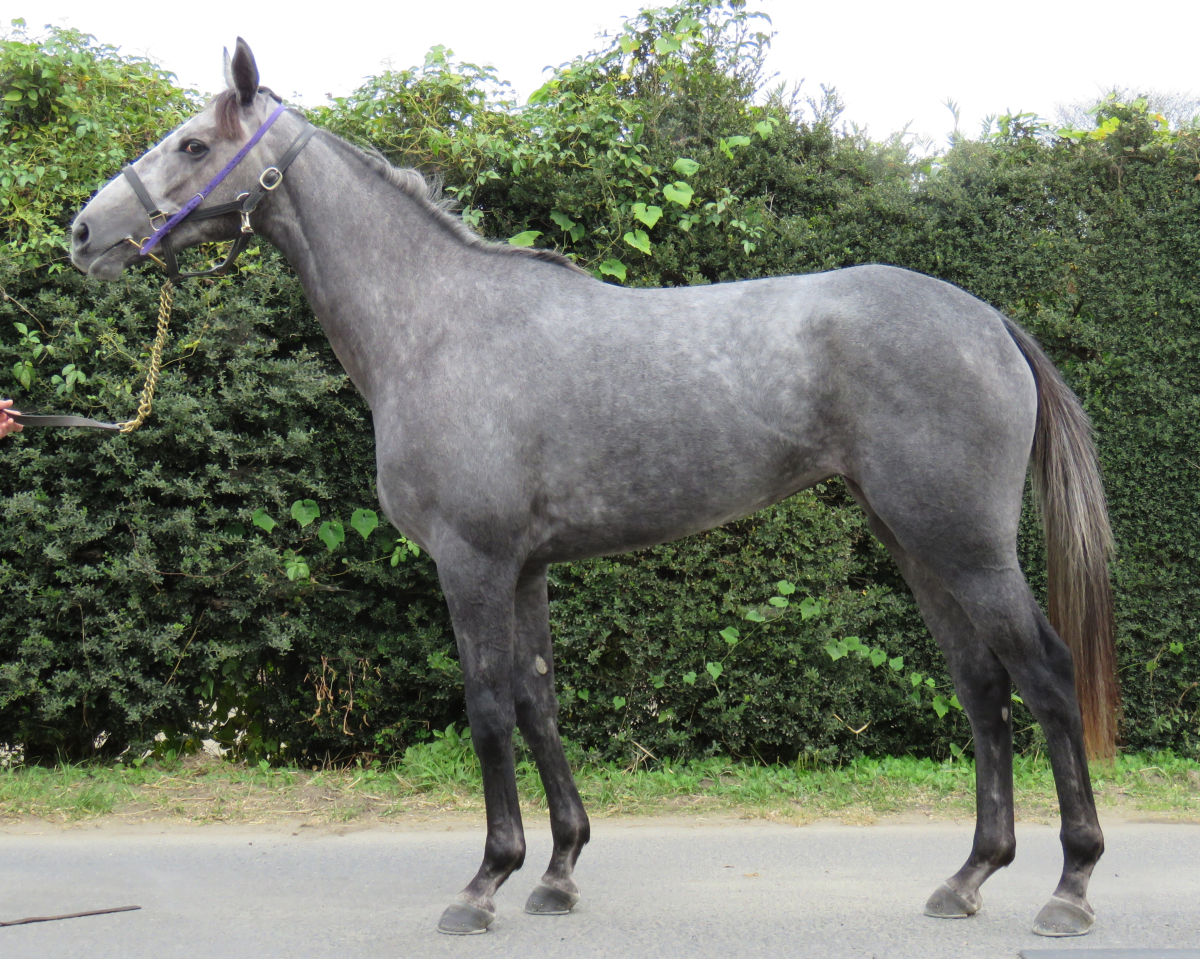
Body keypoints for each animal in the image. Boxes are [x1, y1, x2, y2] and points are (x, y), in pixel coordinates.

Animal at [68, 39, 1119, 938]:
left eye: (193, 144)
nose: (84, 233)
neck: (440, 325)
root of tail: (988, 320)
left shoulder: (472, 563)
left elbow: (489, 704)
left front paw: (484, 881)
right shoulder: (526, 567)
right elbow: (539, 701)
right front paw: (559, 870)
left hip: (966, 546)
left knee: (1045, 675)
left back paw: (1069, 885)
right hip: (917, 542)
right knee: (981, 685)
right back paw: (969, 876)